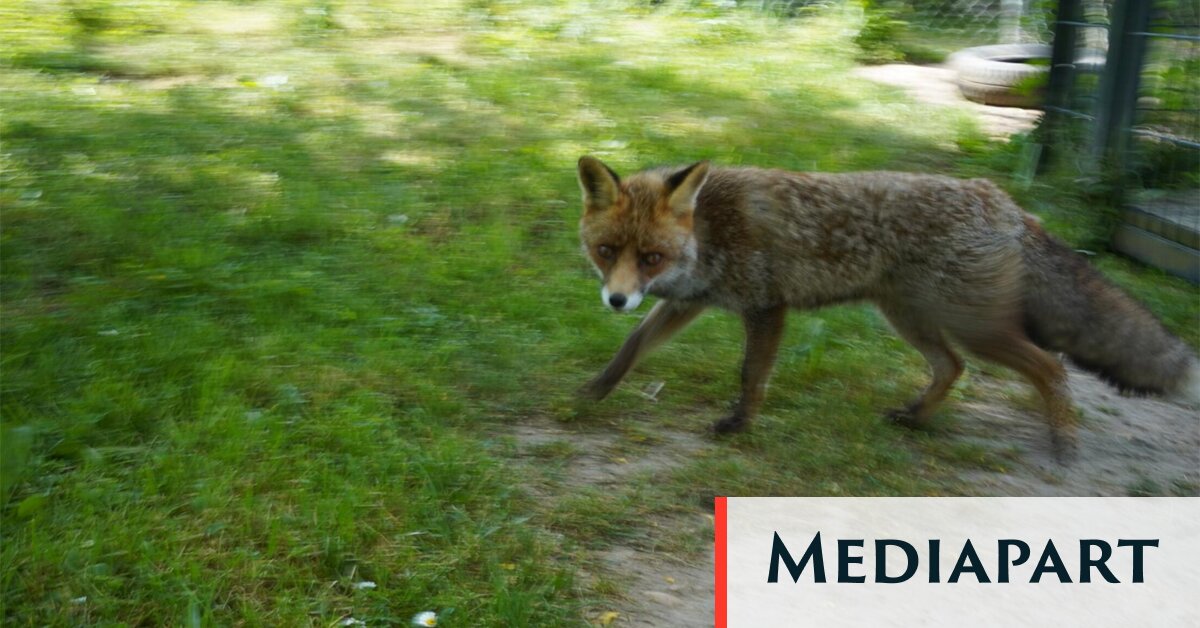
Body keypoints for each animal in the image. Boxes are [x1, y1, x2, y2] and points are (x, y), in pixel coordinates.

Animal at [574, 155, 1200, 462]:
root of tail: (1004, 202)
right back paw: (917, 418)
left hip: (977, 327)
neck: (708, 230)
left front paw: (739, 425)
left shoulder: (766, 306)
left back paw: (1063, 442)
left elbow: (751, 375)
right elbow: (631, 348)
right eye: (607, 251)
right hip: (912, 318)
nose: (616, 299)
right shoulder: (689, 303)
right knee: (952, 367)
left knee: (1050, 367)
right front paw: (593, 392)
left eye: (650, 257)